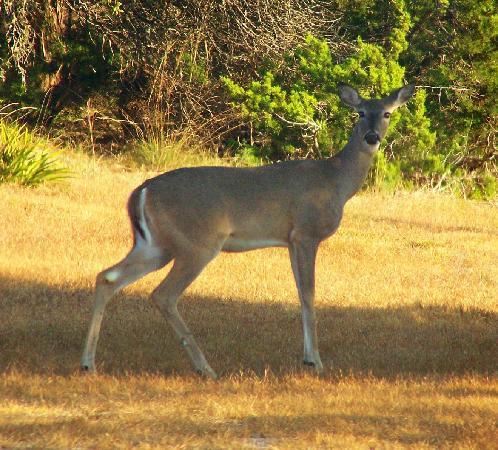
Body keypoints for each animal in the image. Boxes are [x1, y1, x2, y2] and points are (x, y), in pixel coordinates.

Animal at [81, 84, 414, 380]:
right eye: (360, 113)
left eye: (386, 113)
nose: (371, 137)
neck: (336, 181)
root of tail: (141, 191)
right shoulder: (306, 232)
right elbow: (309, 293)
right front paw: (316, 362)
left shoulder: (290, 240)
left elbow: (298, 292)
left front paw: (307, 358)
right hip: (197, 243)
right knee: (162, 294)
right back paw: (206, 369)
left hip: (155, 246)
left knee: (106, 277)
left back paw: (88, 364)